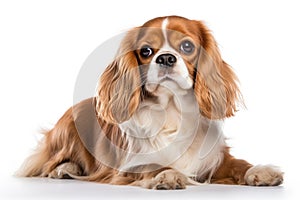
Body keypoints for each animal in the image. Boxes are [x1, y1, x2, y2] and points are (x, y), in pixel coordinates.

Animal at [19, 15, 284, 189]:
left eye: (187, 46)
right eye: (146, 51)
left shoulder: (215, 159)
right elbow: (154, 165)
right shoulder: (130, 166)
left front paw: (261, 171)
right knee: (46, 164)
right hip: (68, 132)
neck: (172, 111)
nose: (165, 58)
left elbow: (239, 164)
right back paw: (64, 169)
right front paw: (169, 175)